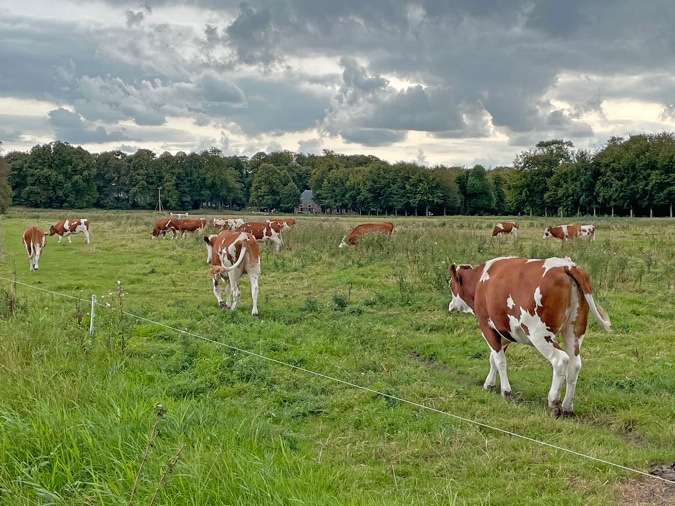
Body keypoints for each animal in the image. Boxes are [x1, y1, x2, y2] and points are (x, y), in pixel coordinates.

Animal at [448, 256, 612, 417]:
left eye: (450, 285)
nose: (450, 306)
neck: (480, 282)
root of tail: (567, 266)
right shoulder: (504, 330)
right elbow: (493, 358)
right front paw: (489, 384)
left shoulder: (487, 326)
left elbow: (500, 361)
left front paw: (506, 391)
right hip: (574, 331)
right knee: (574, 364)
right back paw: (567, 407)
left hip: (540, 334)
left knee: (560, 360)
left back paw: (554, 403)